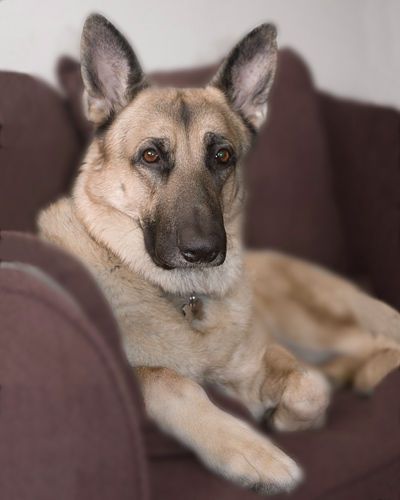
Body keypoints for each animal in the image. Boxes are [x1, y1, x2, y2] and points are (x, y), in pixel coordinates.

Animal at [37, 13, 400, 494]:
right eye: (150, 155)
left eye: (222, 156)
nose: (204, 251)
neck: (183, 299)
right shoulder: (143, 375)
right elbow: (171, 380)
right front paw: (253, 453)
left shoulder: (262, 355)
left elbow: (309, 386)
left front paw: (280, 415)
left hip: (311, 325)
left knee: (376, 344)